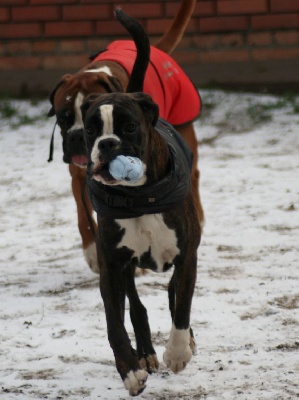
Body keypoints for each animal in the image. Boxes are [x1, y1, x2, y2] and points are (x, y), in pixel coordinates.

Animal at [48, 0, 204, 274]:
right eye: (63, 116)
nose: (77, 137)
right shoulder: (79, 175)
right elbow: (83, 214)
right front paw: (93, 252)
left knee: (193, 178)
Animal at [81, 9, 200, 396]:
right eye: (90, 129)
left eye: (130, 127)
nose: (107, 144)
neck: (137, 196)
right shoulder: (111, 267)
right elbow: (114, 323)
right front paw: (130, 370)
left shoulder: (187, 256)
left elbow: (181, 306)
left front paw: (177, 352)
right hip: (126, 267)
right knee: (136, 306)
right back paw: (145, 352)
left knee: (173, 296)